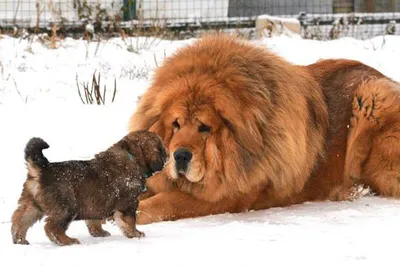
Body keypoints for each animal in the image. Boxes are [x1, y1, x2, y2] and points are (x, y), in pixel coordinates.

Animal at [10, 131, 166, 246]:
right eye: (162, 149)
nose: (169, 155)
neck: (132, 156)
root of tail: (42, 169)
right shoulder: (128, 203)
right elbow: (130, 221)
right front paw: (135, 234)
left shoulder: (95, 203)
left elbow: (93, 220)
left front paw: (99, 233)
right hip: (66, 207)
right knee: (51, 227)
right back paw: (67, 241)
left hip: (31, 205)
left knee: (20, 220)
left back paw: (19, 240)